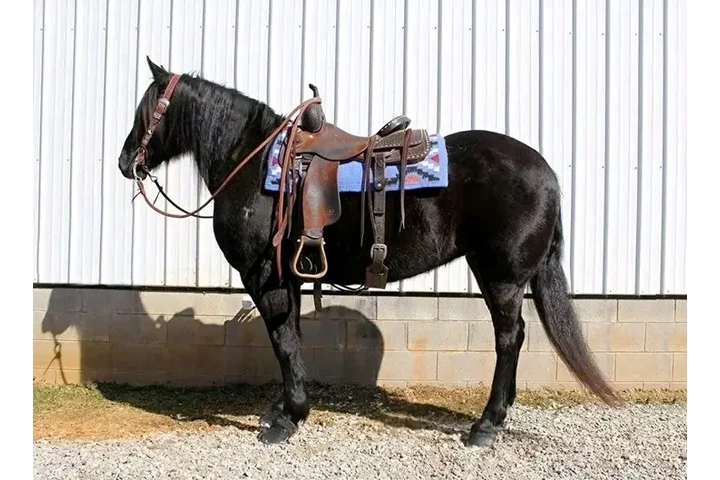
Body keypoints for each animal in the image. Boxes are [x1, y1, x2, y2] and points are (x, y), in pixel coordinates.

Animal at [117, 57, 618, 447]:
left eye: (146, 111)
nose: (125, 162)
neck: (254, 163)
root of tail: (546, 171)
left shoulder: (265, 276)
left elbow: (283, 341)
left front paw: (289, 418)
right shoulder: (290, 275)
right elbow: (291, 338)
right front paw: (286, 406)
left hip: (502, 277)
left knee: (509, 339)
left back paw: (487, 424)